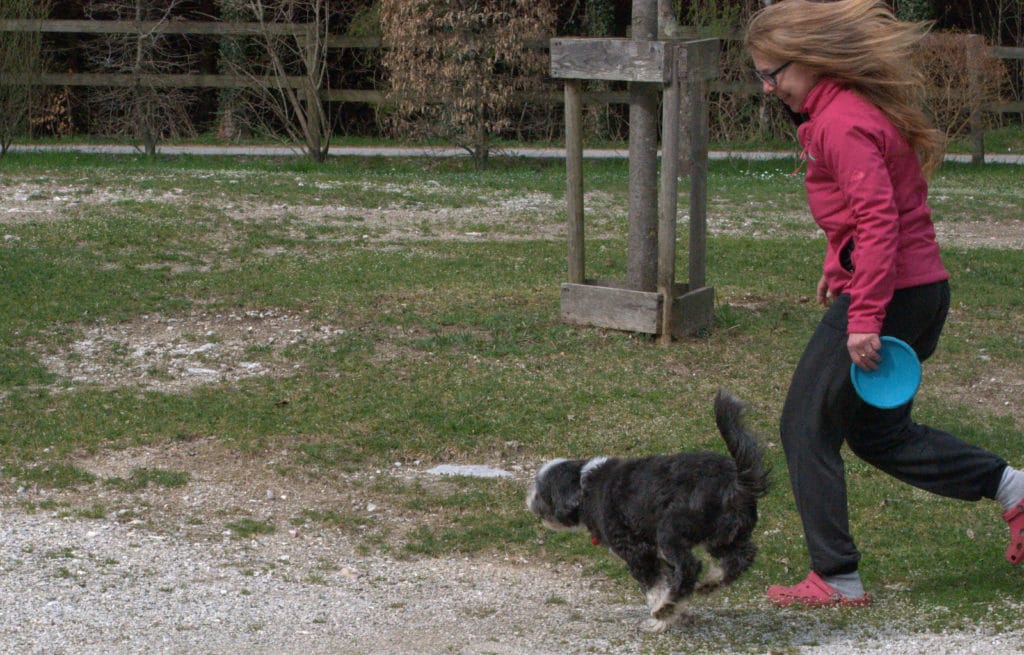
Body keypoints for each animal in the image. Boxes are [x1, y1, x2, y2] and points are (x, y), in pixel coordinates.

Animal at [526, 390, 769, 632]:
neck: (585, 486)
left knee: (690, 567)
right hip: (723, 537)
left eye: (541, 492)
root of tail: (736, 481)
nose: (528, 499)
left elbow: (654, 587)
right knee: (741, 557)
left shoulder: (638, 552)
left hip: (671, 531)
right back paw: (711, 583)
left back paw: (665, 609)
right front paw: (677, 615)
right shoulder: (659, 557)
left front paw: (661, 617)